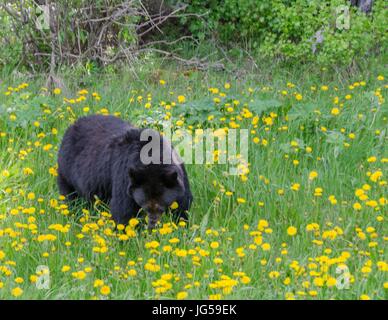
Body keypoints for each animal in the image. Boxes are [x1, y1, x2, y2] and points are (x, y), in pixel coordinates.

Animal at [56, 114, 193, 228]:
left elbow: (183, 204)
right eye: (145, 205)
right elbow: (123, 209)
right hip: (66, 169)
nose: (152, 223)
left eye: (161, 205)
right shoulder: (124, 176)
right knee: (69, 194)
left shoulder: (179, 174)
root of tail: (73, 125)